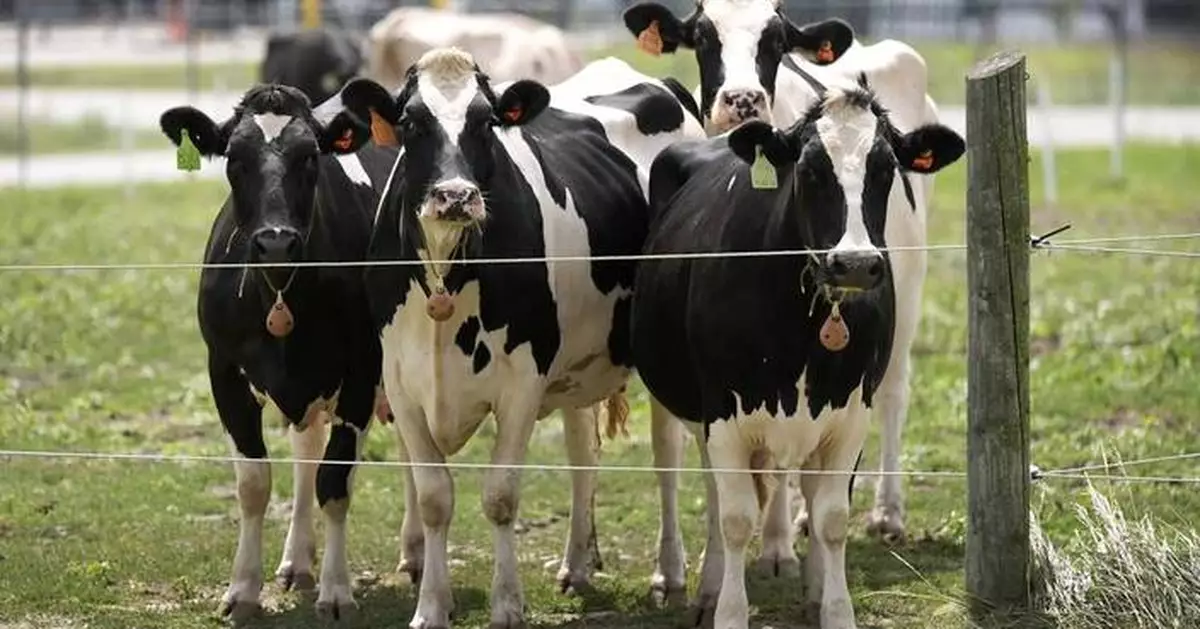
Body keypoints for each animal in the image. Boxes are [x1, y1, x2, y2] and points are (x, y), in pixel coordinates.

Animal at [158, 81, 399, 621]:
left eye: (310, 157)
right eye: (234, 158)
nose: (274, 241)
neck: (282, 293)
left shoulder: (361, 371)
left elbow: (335, 482)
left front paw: (337, 591)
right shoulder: (224, 371)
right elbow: (254, 484)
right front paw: (243, 590)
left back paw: (413, 556)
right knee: (305, 454)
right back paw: (297, 562)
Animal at [356, 47, 704, 628]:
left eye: (486, 122)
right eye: (409, 122)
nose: (455, 196)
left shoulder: (522, 382)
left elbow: (500, 497)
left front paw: (506, 606)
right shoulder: (401, 385)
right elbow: (434, 499)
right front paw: (431, 607)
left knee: (670, 458)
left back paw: (673, 574)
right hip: (578, 364)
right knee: (583, 453)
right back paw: (577, 565)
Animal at [622, 0, 948, 580]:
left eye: (774, 42)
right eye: (703, 38)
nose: (742, 100)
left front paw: (777, 546)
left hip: (909, 290)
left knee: (893, 393)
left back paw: (885, 512)